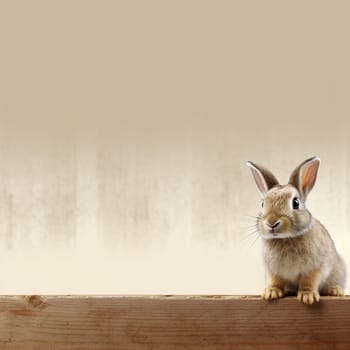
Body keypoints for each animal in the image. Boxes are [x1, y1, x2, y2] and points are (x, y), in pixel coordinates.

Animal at [247, 157, 346, 304]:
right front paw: (271, 293)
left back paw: (335, 291)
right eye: (263, 204)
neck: (285, 238)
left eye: (296, 203)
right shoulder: (274, 271)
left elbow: (308, 281)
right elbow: (275, 281)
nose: (271, 222)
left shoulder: (314, 267)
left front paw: (308, 296)